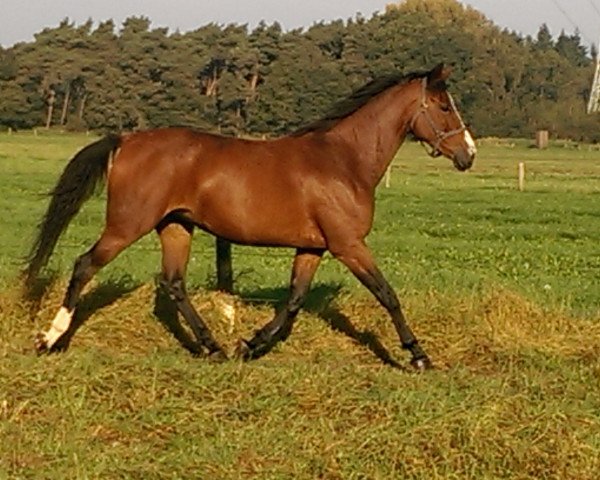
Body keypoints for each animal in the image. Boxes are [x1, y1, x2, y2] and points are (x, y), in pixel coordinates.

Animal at [24, 62, 478, 372]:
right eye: (443, 106)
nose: (469, 154)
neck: (344, 161)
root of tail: (127, 139)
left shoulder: (313, 248)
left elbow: (294, 301)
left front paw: (250, 345)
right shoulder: (348, 245)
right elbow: (387, 294)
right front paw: (419, 356)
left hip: (176, 226)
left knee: (174, 284)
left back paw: (212, 347)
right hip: (126, 226)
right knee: (84, 266)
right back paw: (49, 338)